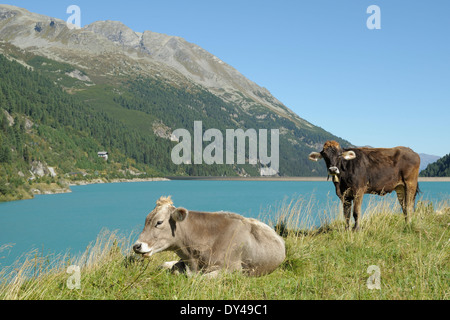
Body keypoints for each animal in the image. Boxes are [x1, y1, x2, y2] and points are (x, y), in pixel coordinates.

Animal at [132, 196, 284, 276]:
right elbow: (174, 268)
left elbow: (199, 278)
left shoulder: (233, 269)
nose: (136, 246)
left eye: (159, 222)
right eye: (146, 220)